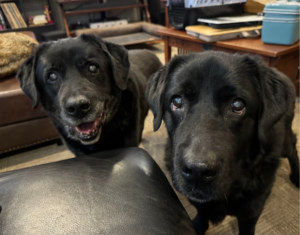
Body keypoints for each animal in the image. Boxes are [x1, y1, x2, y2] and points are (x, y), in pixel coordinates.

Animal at [146, 51, 300, 235]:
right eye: (177, 101)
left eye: (237, 104)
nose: (197, 172)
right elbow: (202, 215)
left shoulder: (251, 212)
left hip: (284, 142)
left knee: (293, 149)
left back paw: (298, 176)